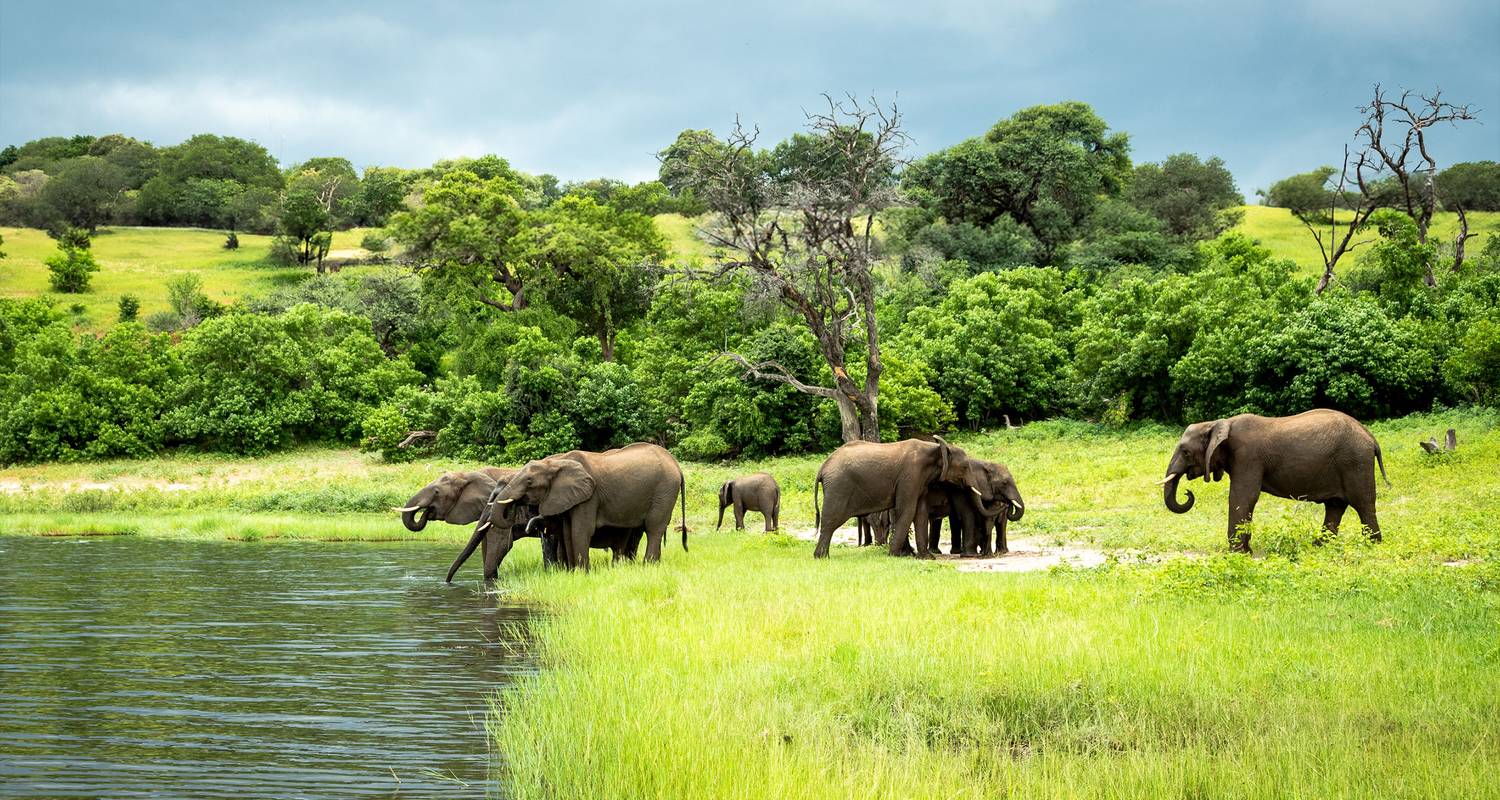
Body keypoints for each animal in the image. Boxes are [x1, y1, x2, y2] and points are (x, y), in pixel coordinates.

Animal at [486, 444, 687, 567]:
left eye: (529, 482)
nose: (513, 505)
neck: (557, 463)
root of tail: (677, 465)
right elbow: (568, 532)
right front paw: (574, 572)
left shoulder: (590, 497)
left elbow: (580, 530)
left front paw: (583, 572)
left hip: (665, 490)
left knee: (653, 527)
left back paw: (648, 565)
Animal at [822, 432, 984, 558]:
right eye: (964, 467)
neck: (936, 448)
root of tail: (823, 468)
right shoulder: (911, 475)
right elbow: (908, 510)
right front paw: (894, 555)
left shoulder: (921, 480)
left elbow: (920, 513)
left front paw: (927, 557)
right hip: (838, 488)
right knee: (830, 520)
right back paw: (822, 557)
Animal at [1158, 408, 1392, 552]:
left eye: (1185, 452)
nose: (1187, 493)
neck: (1218, 423)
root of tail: (1372, 439)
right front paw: (1246, 551)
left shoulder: (1248, 456)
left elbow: (1243, 496)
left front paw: (1237, 554)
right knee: (1335, 506)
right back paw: (1318, 547)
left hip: (1356, 462)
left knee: (1363, 505)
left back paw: (1373, 546)